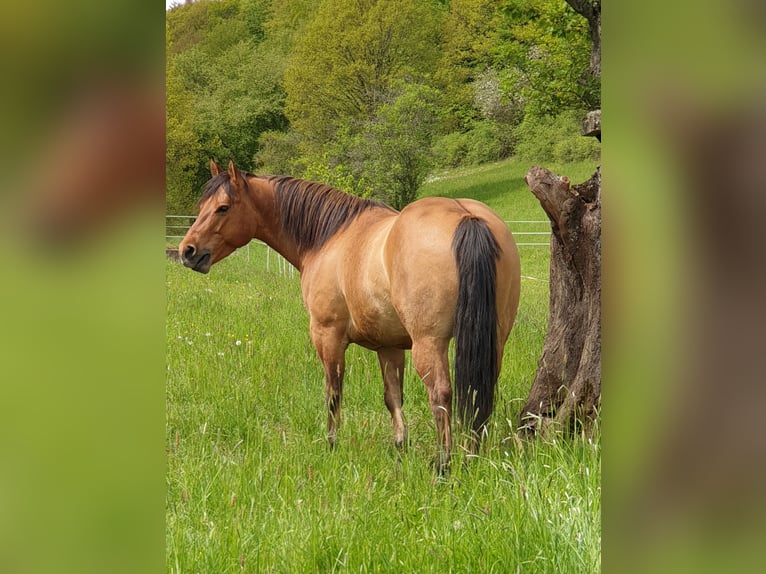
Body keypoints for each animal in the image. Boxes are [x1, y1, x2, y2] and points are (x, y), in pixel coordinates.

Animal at [179, 160, 521, 472]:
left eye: (222, 208)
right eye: (202, 206)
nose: (187, 251)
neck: (328, 239)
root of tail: (466, 216)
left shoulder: (327, 336)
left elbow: (333, 393)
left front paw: (332, 444)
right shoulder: (389, 347)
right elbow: (393, 397)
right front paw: (400, 447)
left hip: (430, 344)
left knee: (441, 395)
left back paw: (443, 466)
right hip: (494, 341)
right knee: (480, 391)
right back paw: (472, 456)